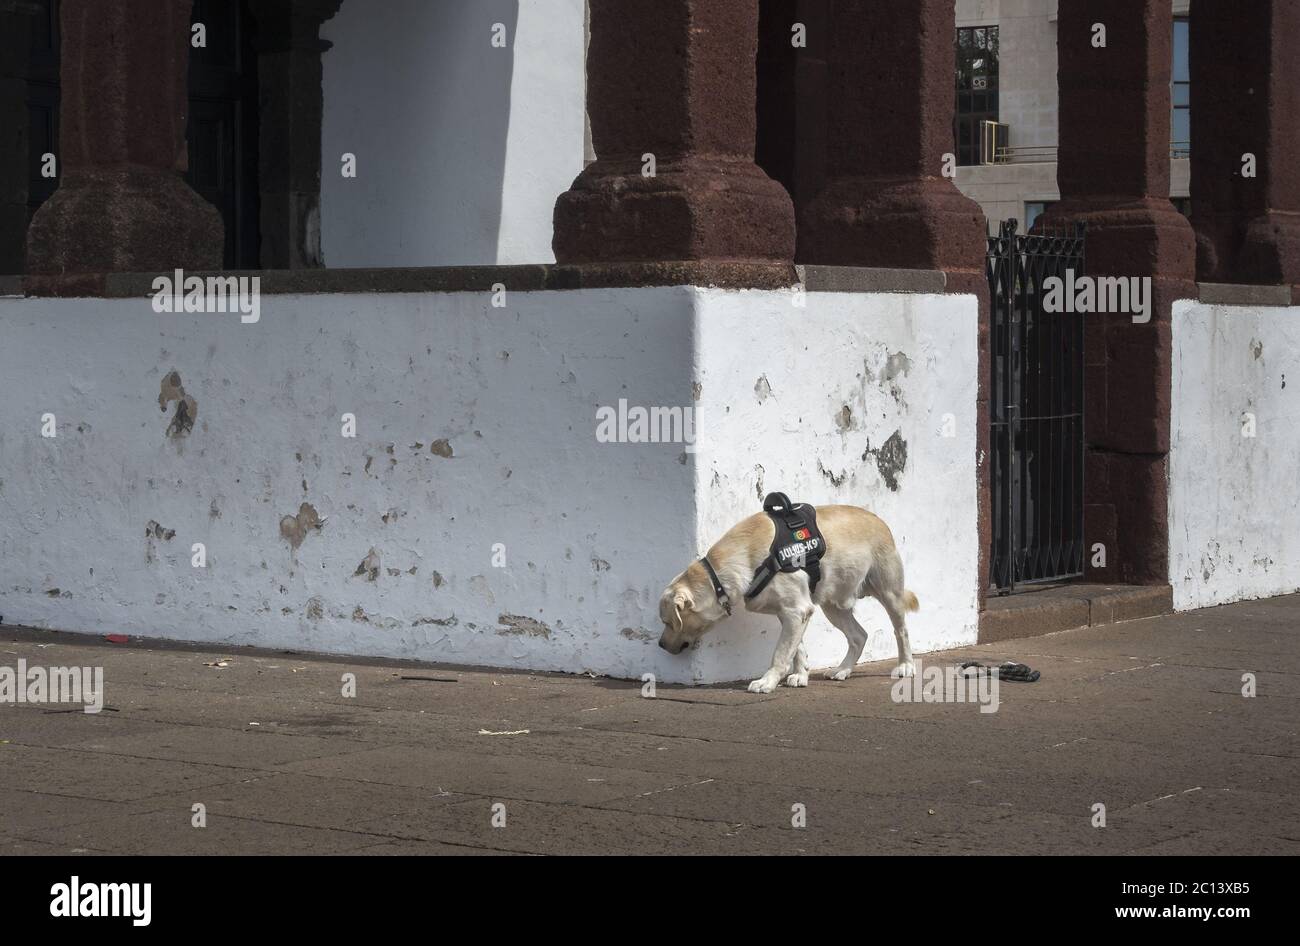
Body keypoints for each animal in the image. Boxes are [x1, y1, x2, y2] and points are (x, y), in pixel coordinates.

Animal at [660, 498, 915, 691]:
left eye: (669, 622)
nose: (661, 645)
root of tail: (879, 520)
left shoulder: (796, 611)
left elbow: (781, 654)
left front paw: (767, 681)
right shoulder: (792, 613)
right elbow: (796, 649)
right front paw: (801, 675)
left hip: (890, 593)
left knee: (901, 630)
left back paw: (906, 666)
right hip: (833, 605)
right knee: (859, 636)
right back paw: (843, 670)